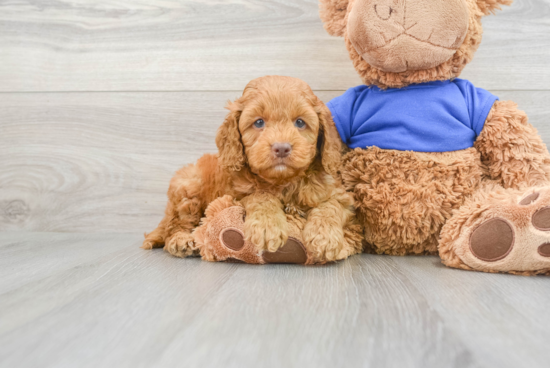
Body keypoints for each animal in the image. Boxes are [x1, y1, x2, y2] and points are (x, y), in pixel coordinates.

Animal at [144, 76, 364, 264]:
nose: (281, 148)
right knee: (176, 224)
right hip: (189, 187)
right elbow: (261, 195)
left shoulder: (340, 195)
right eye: (259, 122)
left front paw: (324, 237)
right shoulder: (237, 194)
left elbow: (330, 206)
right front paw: (268, 226)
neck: (283, 181)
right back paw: (181, 241)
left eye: (300, 122)